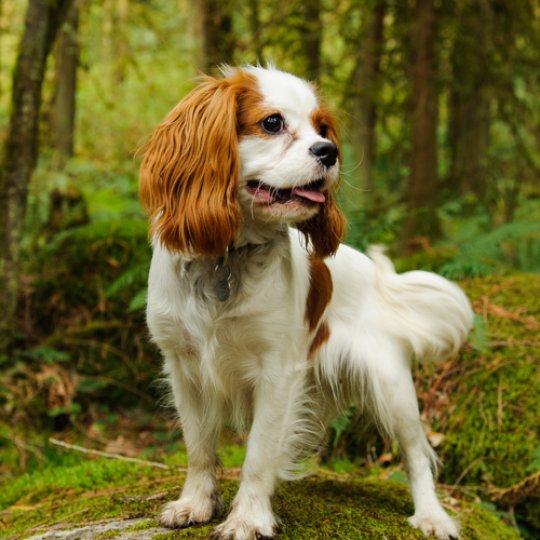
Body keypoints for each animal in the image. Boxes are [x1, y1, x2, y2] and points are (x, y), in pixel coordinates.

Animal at [139, 65, 472, 536]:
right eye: (272, 123)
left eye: (322, 128)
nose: (329, 151)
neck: (227, 257)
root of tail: (376, 278)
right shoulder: (185, 368)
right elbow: (199, 447)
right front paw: (196, 504)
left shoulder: (276, 371)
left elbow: (258, 455)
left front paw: (248, 518)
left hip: (392, 387)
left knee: (416, 455)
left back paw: (432, 515)